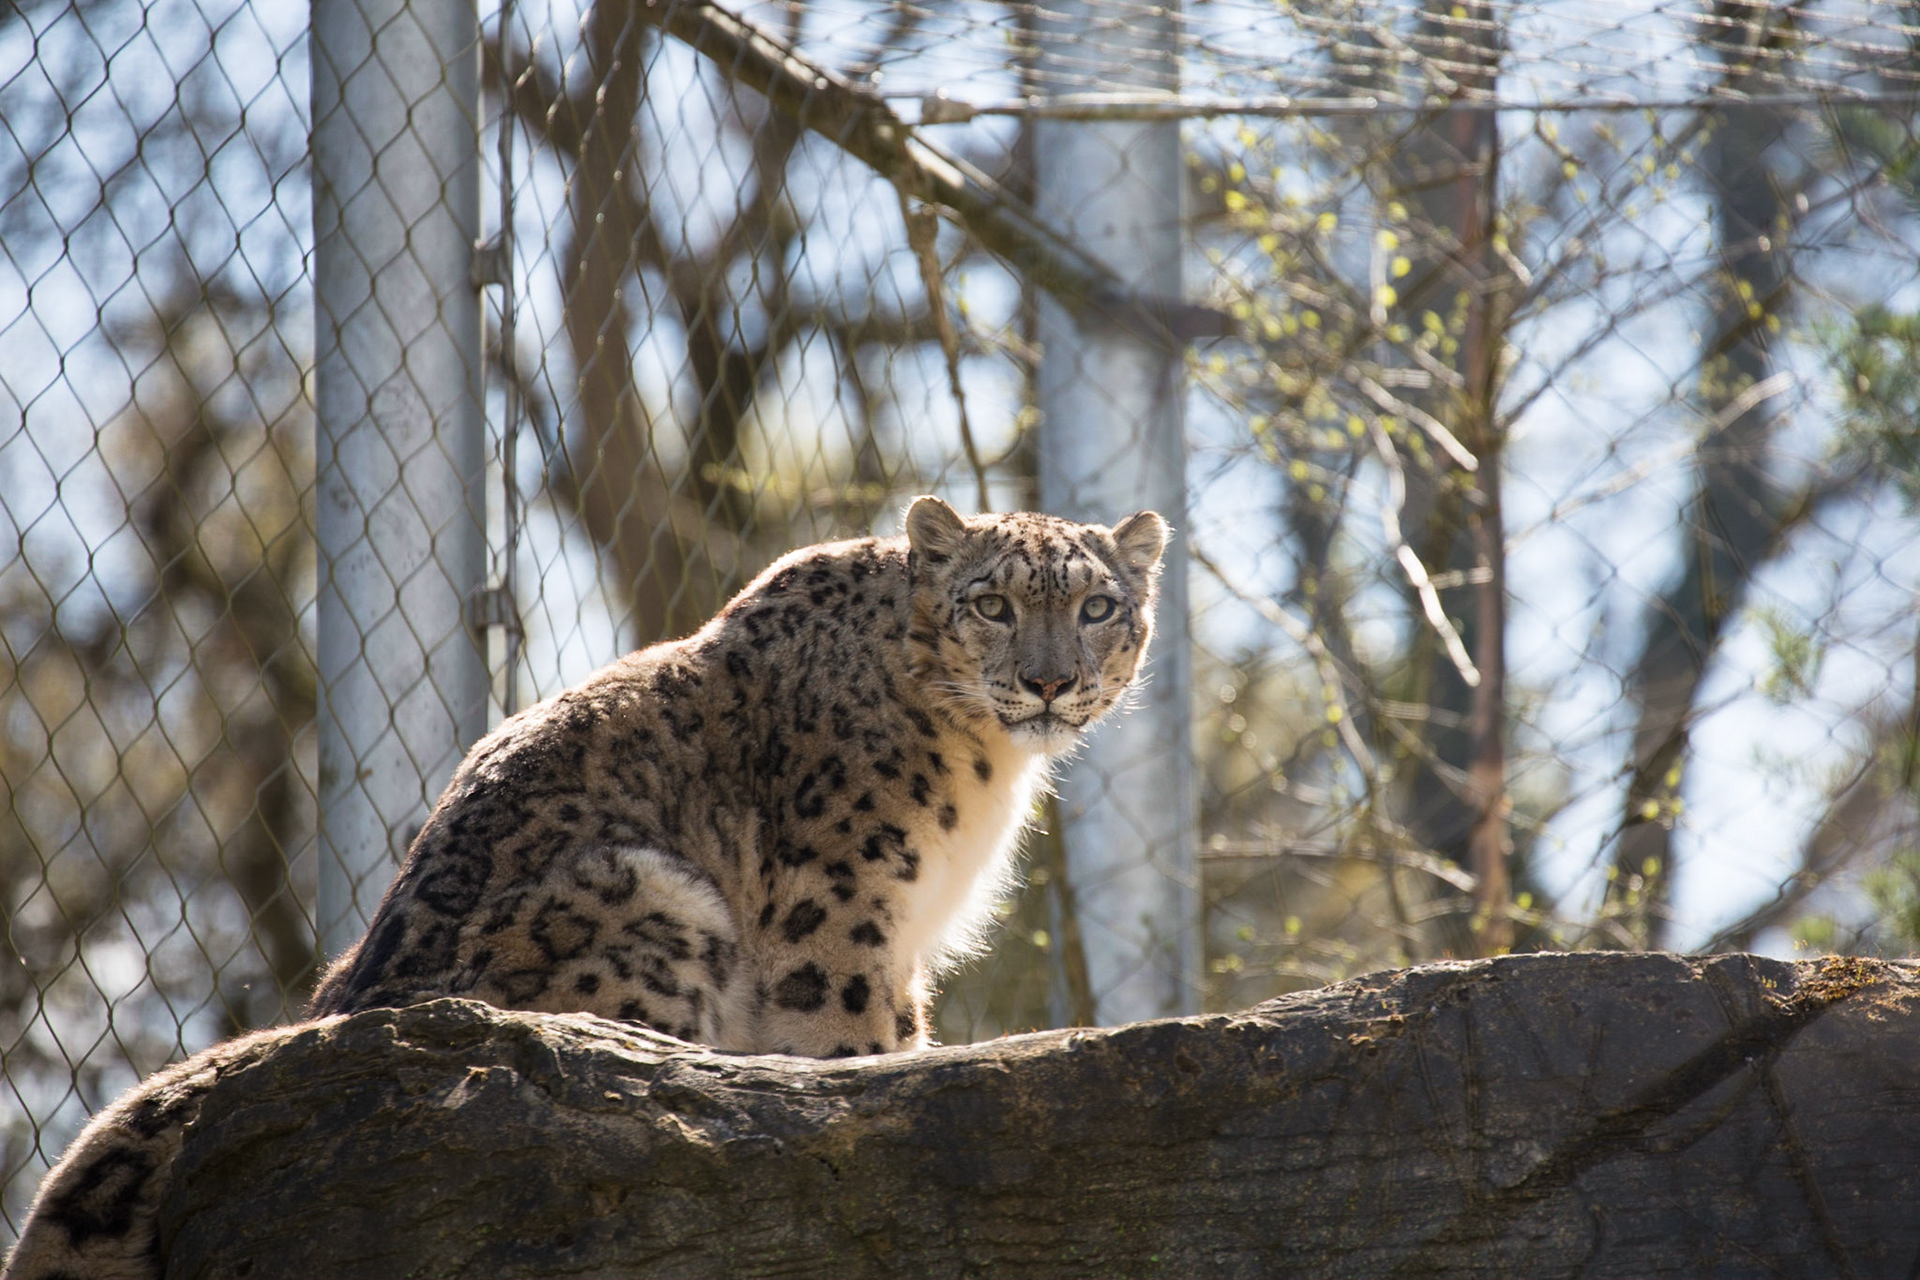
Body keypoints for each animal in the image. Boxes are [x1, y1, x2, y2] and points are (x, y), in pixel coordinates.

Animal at [3, 496, 1167, 1279]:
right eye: (993, 602)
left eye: (1099, 605)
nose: (1052, 680)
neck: (982, 770)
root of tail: (332, 1011)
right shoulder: (841, 910)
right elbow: (850, 1050)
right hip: (658, 903)